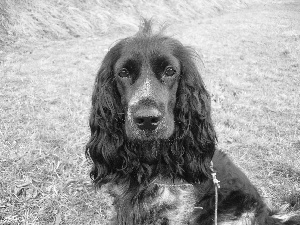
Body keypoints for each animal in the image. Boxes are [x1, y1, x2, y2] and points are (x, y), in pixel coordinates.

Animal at [85, 20, 300, 224]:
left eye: (170, 71)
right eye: (123, 72)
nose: (147, 120)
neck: (149, 163)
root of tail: (269, 216)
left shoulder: (174, 212)